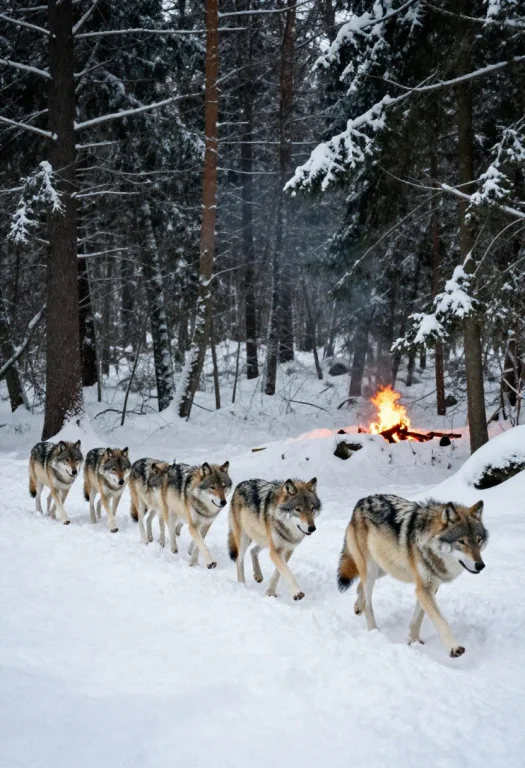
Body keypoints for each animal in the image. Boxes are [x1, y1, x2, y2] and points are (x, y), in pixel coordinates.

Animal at [337, 494, 488, 657]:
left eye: (478, 540)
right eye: (461, 541)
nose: (480, 565)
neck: (429, 543)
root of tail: (361, 502)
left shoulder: (429, 588)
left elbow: (419, 617)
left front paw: (413, 640)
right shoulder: (423, 588)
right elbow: (441, 621)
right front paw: (454, 647)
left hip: (384, 568)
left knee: (360, 586)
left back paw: (358, 606)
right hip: (372, 569)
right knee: (368, 602)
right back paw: (373, 631)